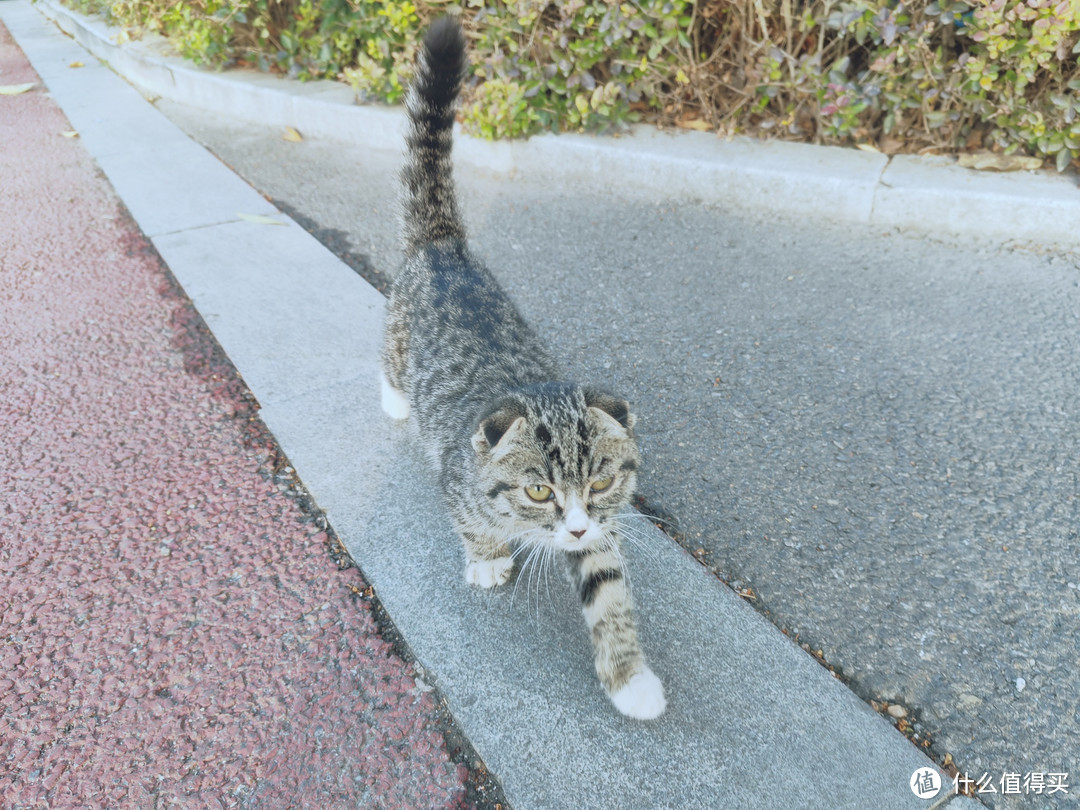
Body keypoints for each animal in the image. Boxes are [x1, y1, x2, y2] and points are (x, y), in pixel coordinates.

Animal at [380, 15, 665, 721]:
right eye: (538, 490)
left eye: (599, 484)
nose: (573, 524)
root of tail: (443, 248)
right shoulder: (459, 479)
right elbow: (470, 520)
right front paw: (487, 560)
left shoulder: (601, 527)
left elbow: (608, 586)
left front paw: (631, 681)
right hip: (397, 335)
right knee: (389, 362)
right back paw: (396, 401)